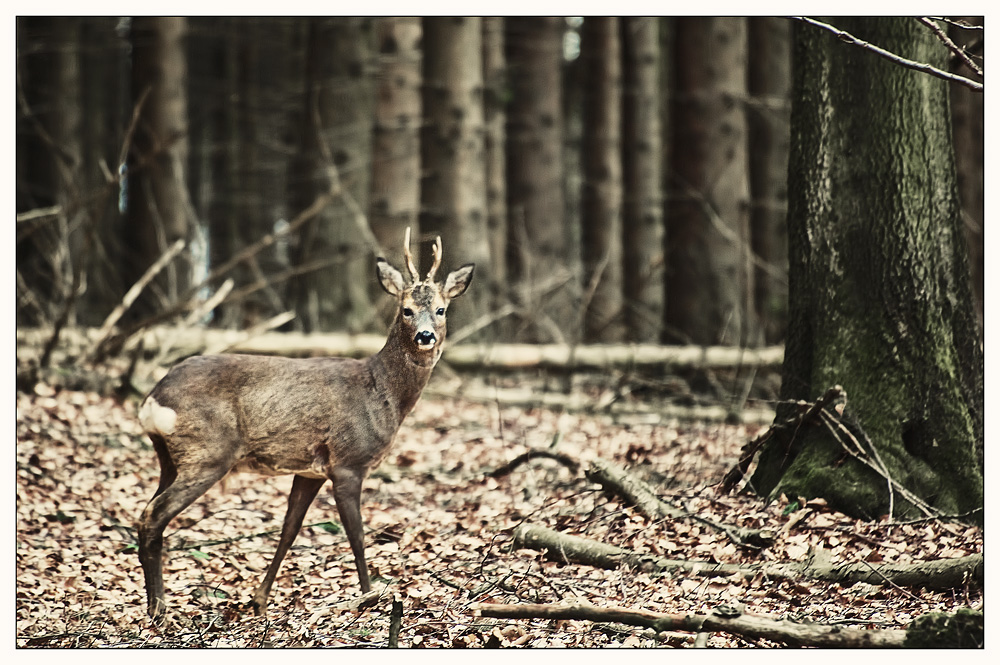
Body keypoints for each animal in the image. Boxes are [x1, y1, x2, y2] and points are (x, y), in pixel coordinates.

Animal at [136, 230, 472, 616]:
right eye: (406, 309)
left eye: (441, 309)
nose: (425, 336)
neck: (381, 393)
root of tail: (153, 399)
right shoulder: (349, 461)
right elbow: (357, 534)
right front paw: (370, 596)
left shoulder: (309, 470)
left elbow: (289, 529)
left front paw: (259, 599)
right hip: (207, 452)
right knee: (152, 515)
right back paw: (159, 610)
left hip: (170, 458)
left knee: (148, 513)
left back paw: (155, 606)